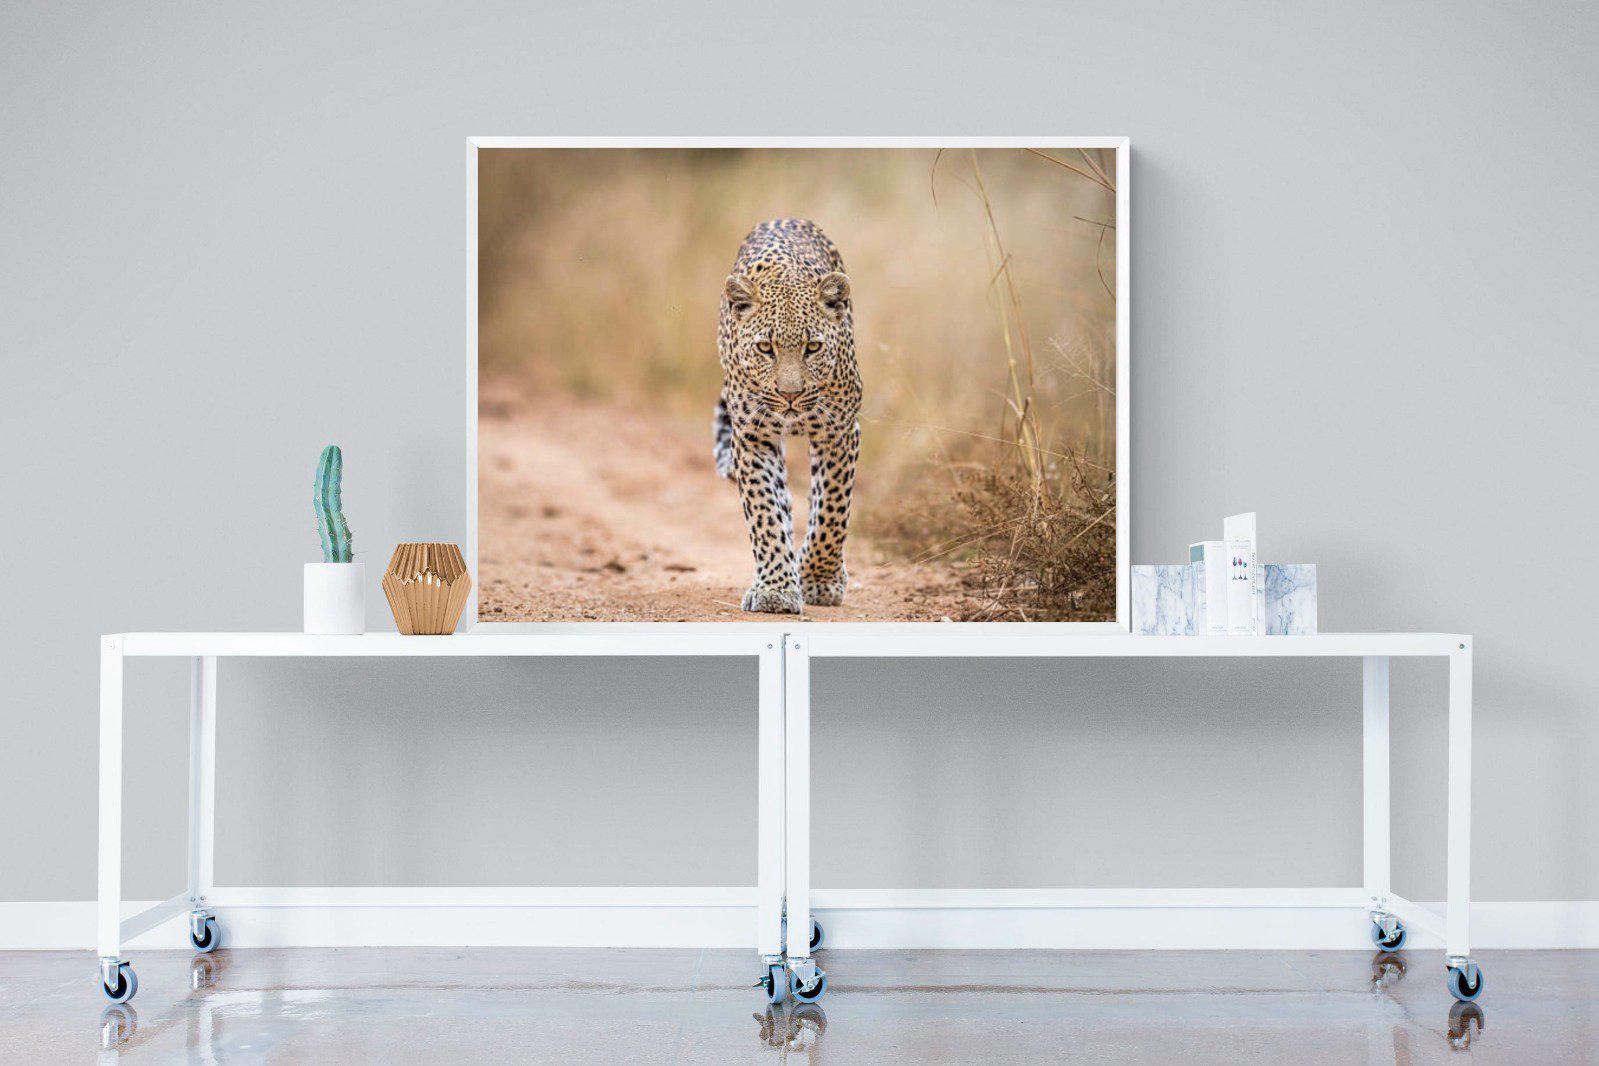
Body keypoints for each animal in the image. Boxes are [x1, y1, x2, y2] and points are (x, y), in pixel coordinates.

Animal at [713, 219, 862, 614]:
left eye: (813, 347)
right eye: (766, 348)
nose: (790, 395)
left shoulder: (839, 431)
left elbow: (831, 511)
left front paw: (820, 580)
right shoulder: (752, 437)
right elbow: (765, 512)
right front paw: (776, 589)